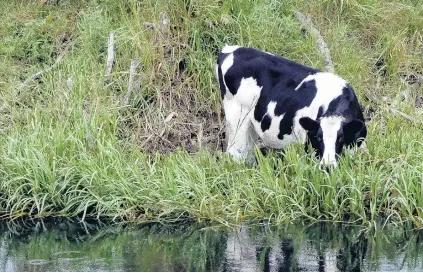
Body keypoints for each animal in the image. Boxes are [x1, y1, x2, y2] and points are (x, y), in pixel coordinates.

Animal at [215, 45, 368, 166]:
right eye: (318, 137)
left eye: (340, 137)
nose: (327, 166)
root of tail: (229, 50)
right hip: (237, 117)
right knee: (236, 154)